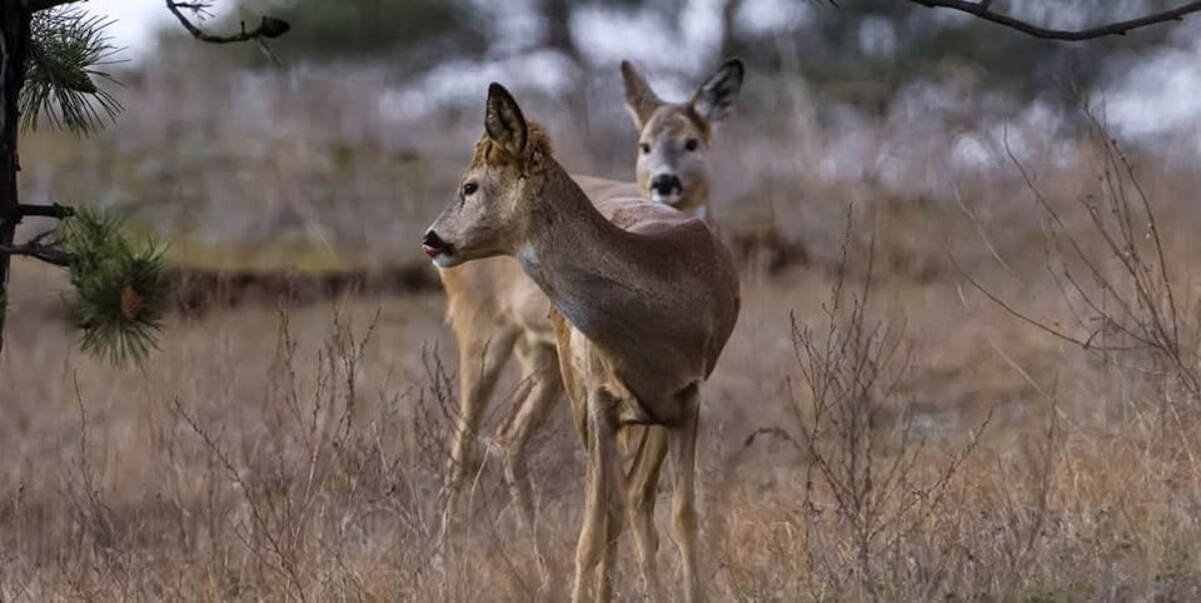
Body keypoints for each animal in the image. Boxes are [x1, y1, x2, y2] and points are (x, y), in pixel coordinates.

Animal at [422, 83, 739, 603]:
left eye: (470, 186)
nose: (431, 238)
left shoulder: (688, 399)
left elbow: (682, 519)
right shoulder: (599, 400)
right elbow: (592, 531)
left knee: (619, 493)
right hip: (507, 346)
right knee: (470, 446)